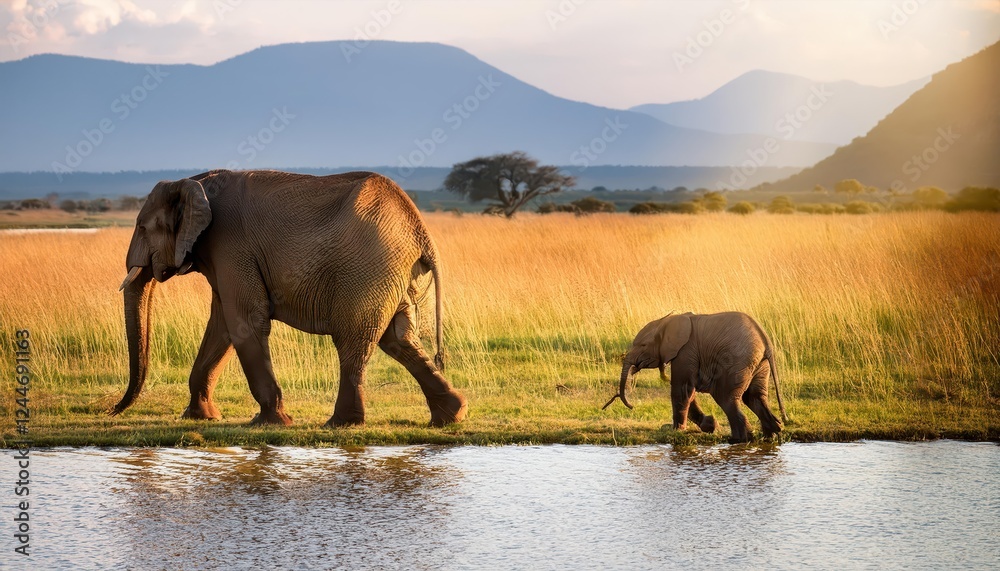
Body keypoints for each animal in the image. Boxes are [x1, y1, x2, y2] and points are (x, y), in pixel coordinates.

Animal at [112, 169, 468, 427]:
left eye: (142, 228)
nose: (112, 410)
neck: (193, 181)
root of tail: (420, 230)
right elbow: (222, 326)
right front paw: (200, 418)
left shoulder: (230, 246)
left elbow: (244, 322)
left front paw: (272, 422)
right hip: (393, 273)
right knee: (398, 338)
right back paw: (451, 416)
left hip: (369, 268)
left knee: (354, 340)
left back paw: (340, 424)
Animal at [603, 312, 787, 443]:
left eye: (643, 345)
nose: (632, 406)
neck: (666, 323)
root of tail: (765, 339)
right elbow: (688, 392)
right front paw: (710, 425)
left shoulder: (685, 351)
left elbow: (681, 389)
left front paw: (676, 431)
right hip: (758, 363)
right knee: (754, 397)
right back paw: (773, 434)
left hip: (737, 360)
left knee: (726, 397)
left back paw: (739, 440)